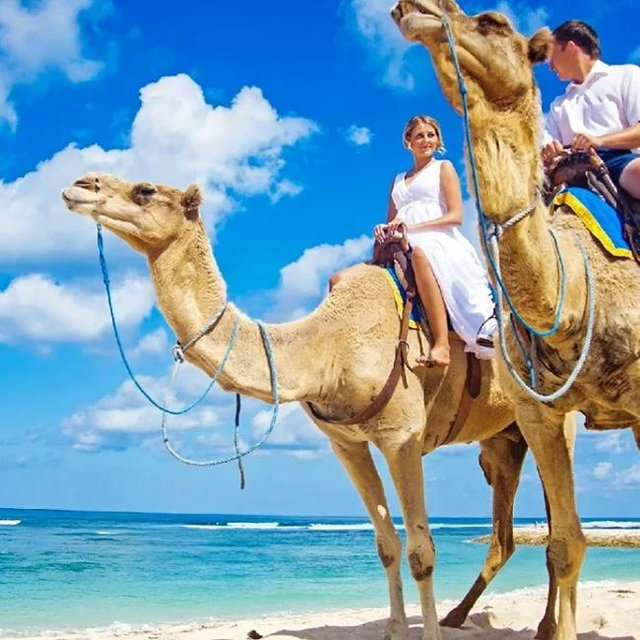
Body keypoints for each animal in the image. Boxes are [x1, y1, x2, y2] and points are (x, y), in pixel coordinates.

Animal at [63, 174, 546, 640]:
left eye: (145, 190)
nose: (79, 185)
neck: (328, 346)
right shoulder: (346, 444)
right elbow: (386, 545)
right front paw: (393, 630)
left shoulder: (401, 435)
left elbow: (420, 551)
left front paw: (425, 634)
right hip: (503, 441)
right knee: (506, 534)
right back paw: (465, 615)